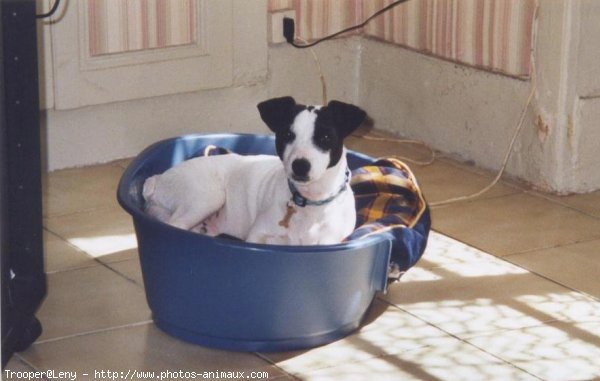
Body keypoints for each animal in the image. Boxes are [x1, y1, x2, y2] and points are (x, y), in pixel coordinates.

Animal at [142, 95, 366, 243]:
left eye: (325, 137)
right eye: (287, 135)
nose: (300, 165)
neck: (309, 203)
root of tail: (158, 179)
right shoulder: (257, 235)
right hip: (206, 197)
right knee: (175, 226)